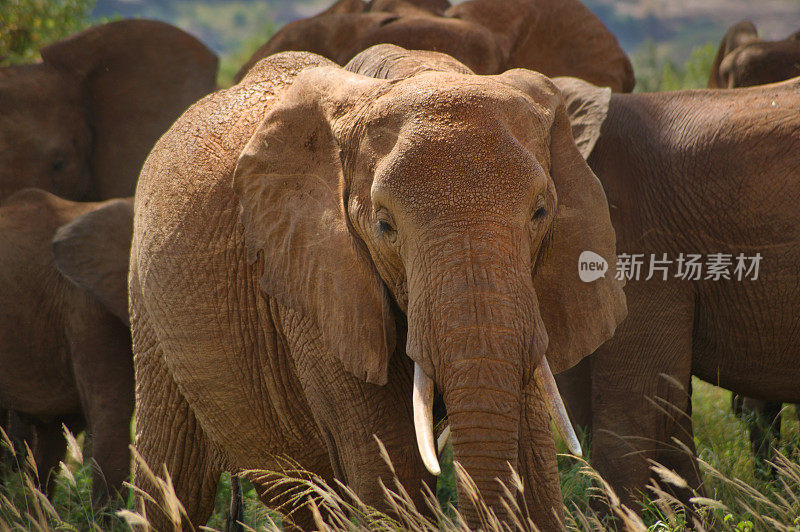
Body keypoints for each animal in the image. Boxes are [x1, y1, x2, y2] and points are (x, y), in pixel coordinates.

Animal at [131, 47, 628, 528]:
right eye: (385, 225)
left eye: (540, 212)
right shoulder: (318, 280)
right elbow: (392, 469)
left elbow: (533, 461)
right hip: (147, 305)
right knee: (174, 479)